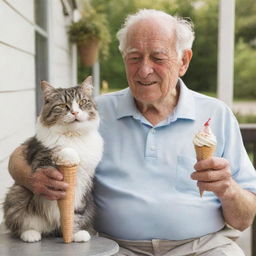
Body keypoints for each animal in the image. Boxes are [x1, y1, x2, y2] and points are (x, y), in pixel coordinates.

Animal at [3, 75, 103, 242]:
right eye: (63, 105)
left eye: (82, 102)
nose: (75, 112)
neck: (73, 135)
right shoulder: (41, 161)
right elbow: (62, 149)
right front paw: (71, 153)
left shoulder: (83, 183)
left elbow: (74, 214)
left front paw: (74, 234)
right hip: (17, 195)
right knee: (22, 225)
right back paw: (31, 234)